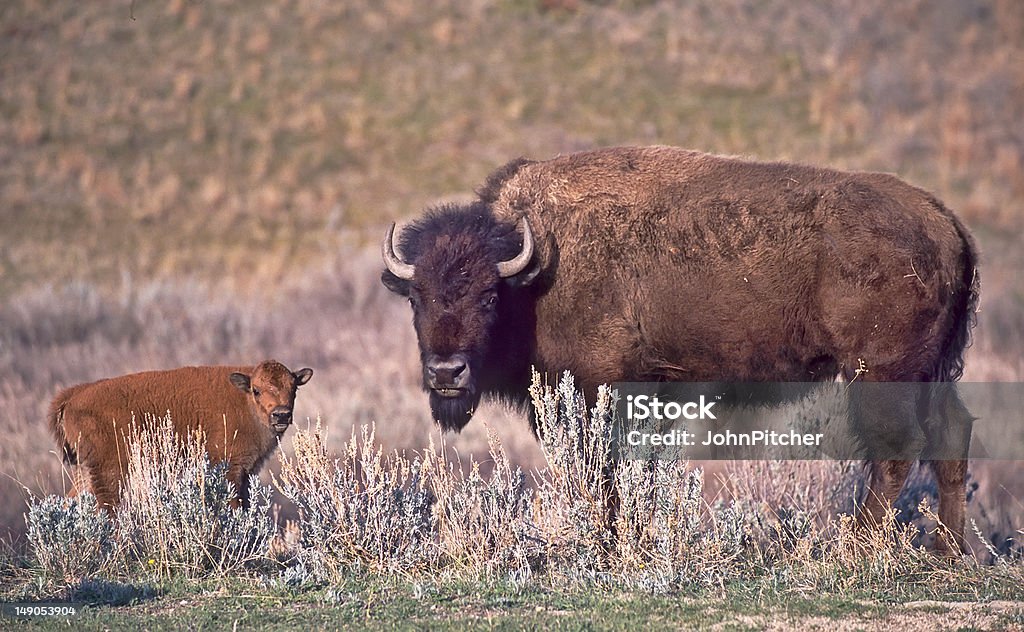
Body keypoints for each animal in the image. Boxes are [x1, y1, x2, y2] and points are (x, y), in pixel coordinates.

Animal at [49, 356, 311, 510]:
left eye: (294, 388)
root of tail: (72, 396)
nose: (281, 415)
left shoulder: (247, 470)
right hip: (109, 469)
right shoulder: (229, 467)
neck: (243, 398)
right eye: (256, 390)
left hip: (87, 469)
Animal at [382, 145, 974, 549]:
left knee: (896, 449)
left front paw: (609, 539)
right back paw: (947, 552)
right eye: (416, 297)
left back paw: (856, 548)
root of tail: (944, 222)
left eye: (487, 296)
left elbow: (605, 468)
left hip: (880, 373)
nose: (446, 372)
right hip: (933, 371)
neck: (531, 273)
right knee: (951, 434)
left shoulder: (601, 389)